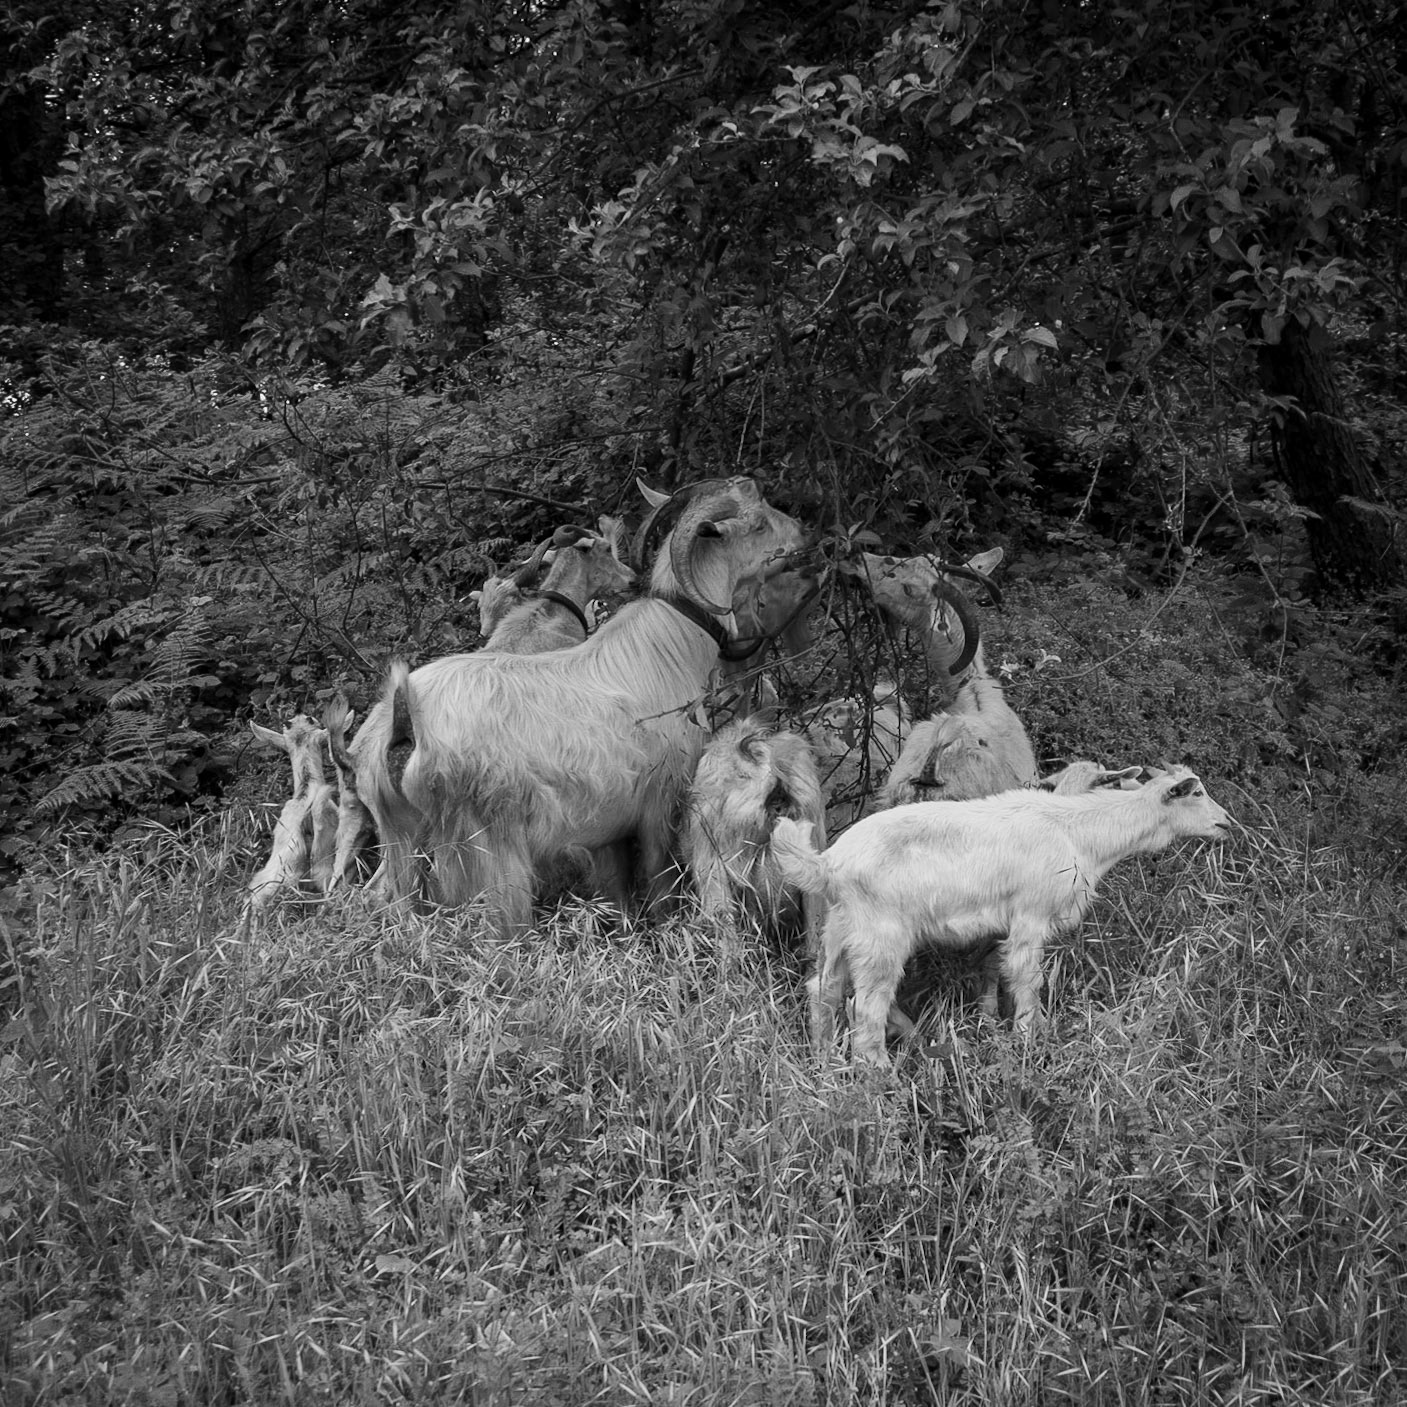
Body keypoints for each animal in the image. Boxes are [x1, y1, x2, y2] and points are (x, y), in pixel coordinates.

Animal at [359, 477, 807, 933]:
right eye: (757, 523)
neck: (670, 648)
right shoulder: (660, 804)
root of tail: (405, 718)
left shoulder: (607, 833)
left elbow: (617, 894)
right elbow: (661, 888)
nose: (801, 535)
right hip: (486, 849)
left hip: (400, 838)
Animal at [771, 766, 1231, 1064]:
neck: (1080, 830)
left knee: (823, 990)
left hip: (839, 929)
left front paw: (994, 1021)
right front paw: (1029, 1039)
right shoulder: (1031, 915)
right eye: (1196, 793)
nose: (1227, 822)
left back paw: (824, 1060)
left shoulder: (1003, 924)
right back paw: (880, 1074)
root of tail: (829, 864)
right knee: (866, 1009)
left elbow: (996, 968)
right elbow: (1028, 979)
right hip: (880, 936)